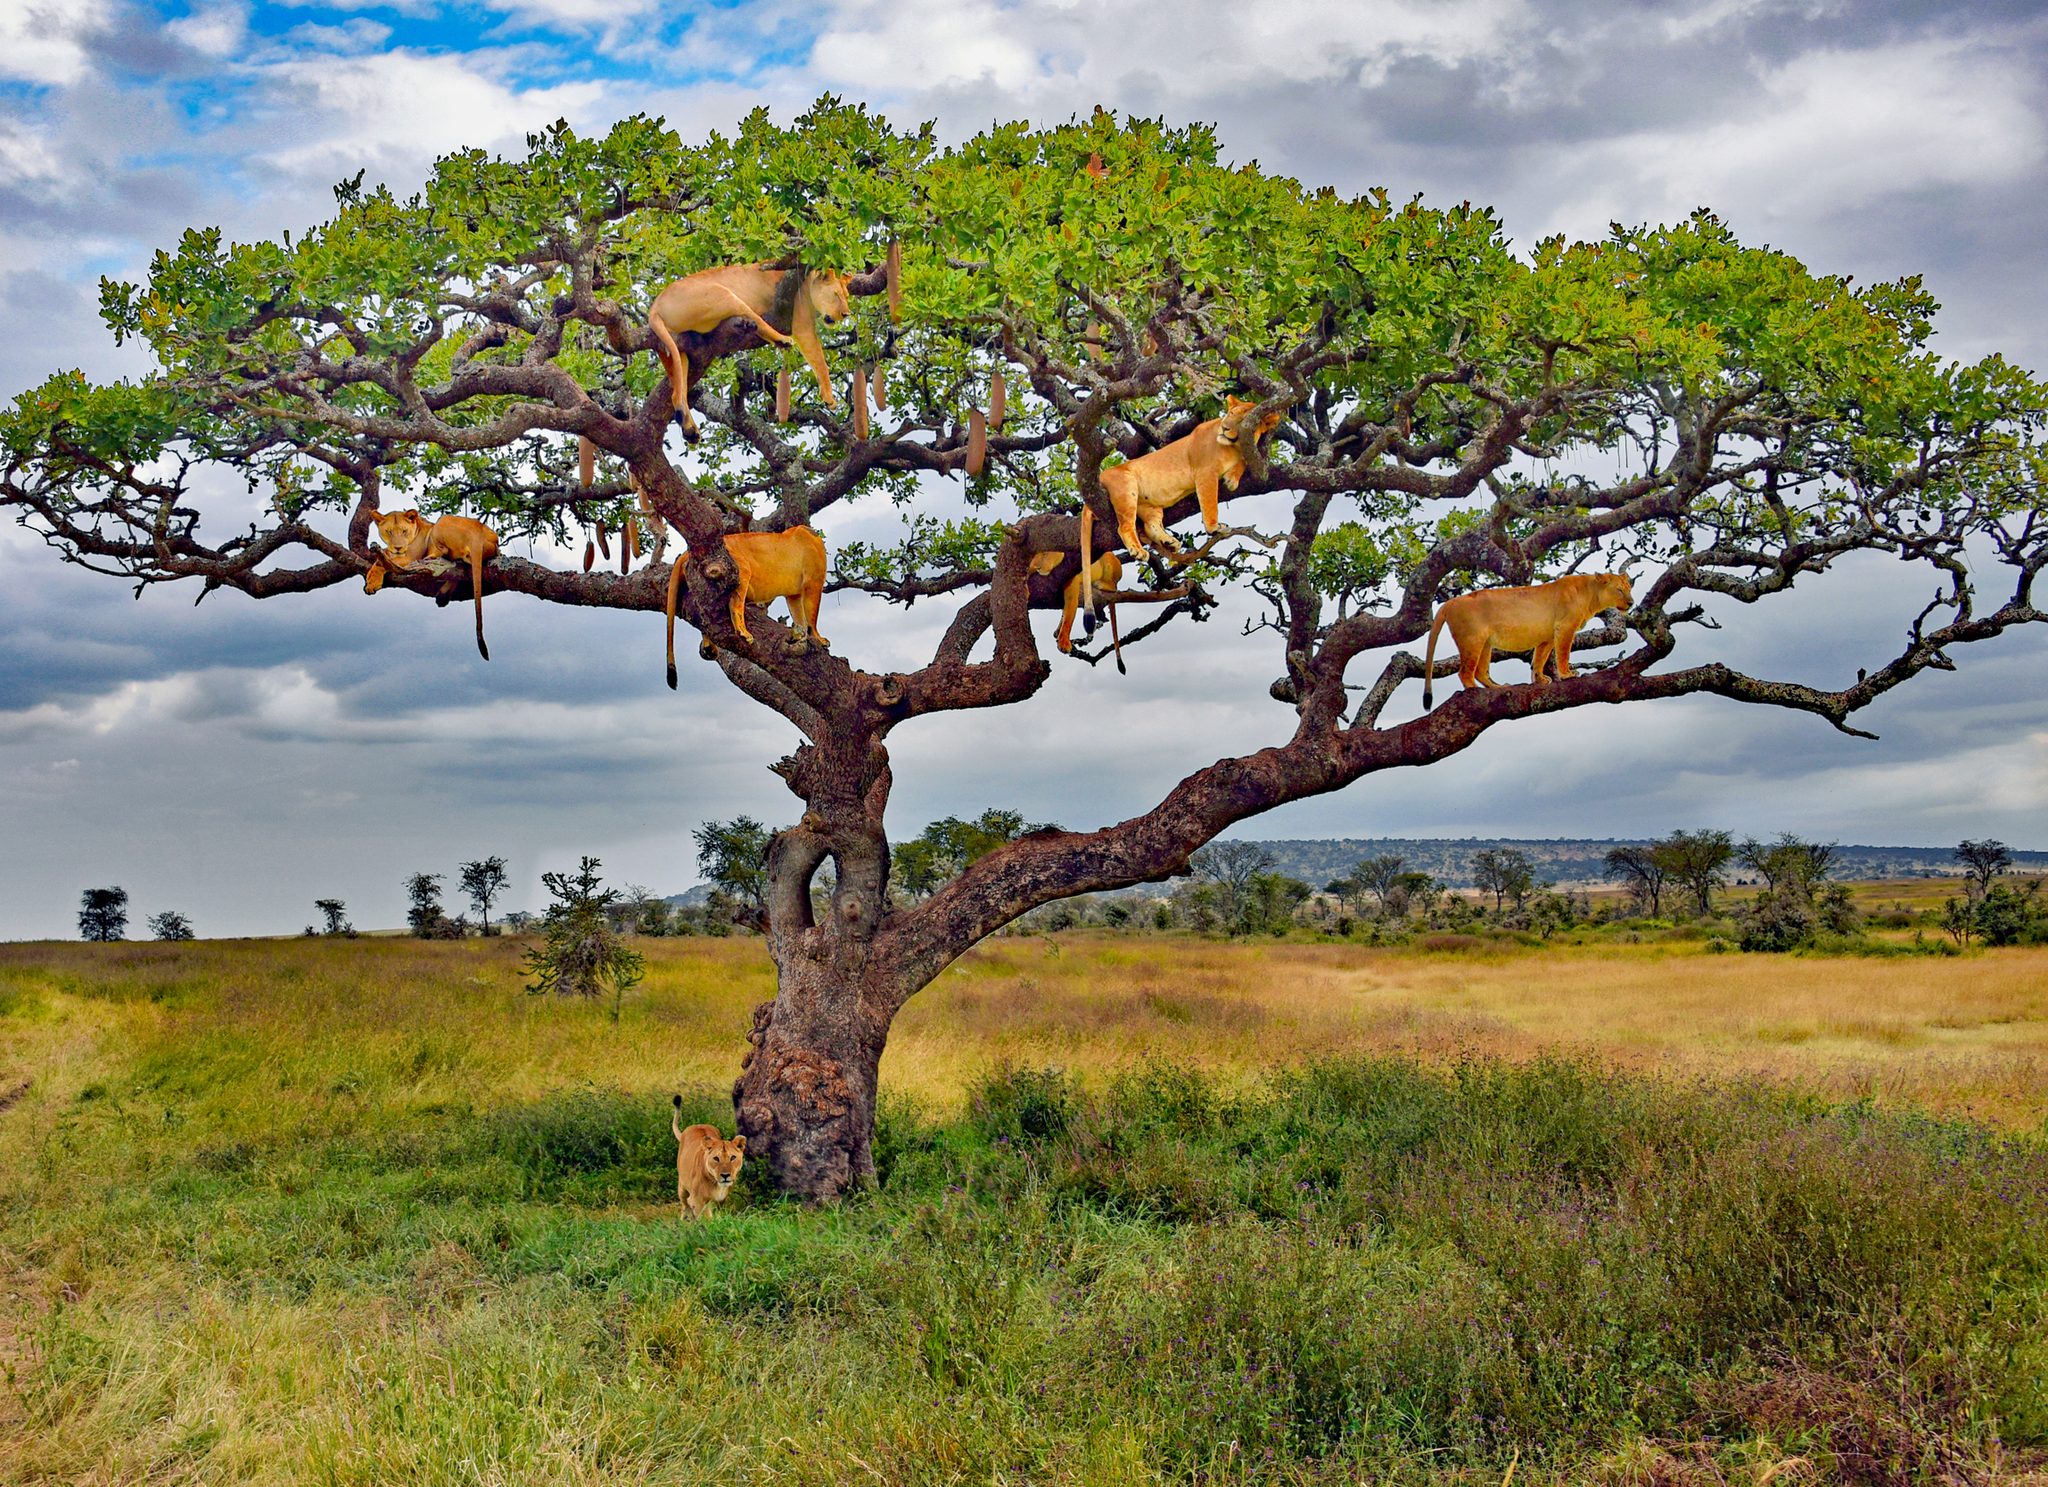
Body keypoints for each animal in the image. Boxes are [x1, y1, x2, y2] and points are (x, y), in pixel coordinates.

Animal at [363, 508, 501, 660]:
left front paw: (372, 583)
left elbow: (382, 563)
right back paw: (442, 596)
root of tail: (478, 530)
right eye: (389, 532)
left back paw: (428, 561)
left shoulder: (411, 556)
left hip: (442, 521)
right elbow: (381, 558)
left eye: (404, 531)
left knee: (443, 553)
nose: (398, 548)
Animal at [665, 525, 828, 687]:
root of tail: (686, 553)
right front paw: (819, 640)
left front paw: (803, 636)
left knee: (703, 615)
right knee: (734, 604)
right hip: (741, 568)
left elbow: (799, 617)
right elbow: (812, 617)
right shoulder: (813, 582)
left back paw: (709, 647)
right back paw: (743, 632)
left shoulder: (794, 594)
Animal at [1081, 396, 1283, 612]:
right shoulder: (1205, 473)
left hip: (1150, 506)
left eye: (1243, 420)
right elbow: (1210, 502)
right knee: (1124, 526)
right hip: (1126, 487)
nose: (1225, 428)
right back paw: (1139, 550)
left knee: (1151, 526)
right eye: (1230, 414)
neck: (1234, 447)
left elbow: (1244, 462)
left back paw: (1170, 542)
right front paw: (1214, 527)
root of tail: (1102, 474)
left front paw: (1232, 478)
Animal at [1421, 572, 1634, 708]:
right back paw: (1474, 690)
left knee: (1481, 671)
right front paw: (1567, 675)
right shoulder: (1565, 627)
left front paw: (1540, 679)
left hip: (1485, 643)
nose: (1631, 602)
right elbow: (1563, 653)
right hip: (1473, 640)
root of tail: (1450, 602)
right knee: (1465, 672)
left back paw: (1498, 688)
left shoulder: (1547, 636)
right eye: (1619, 590)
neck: (1590, 594)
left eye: (1629, 588)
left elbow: (1539, 659)